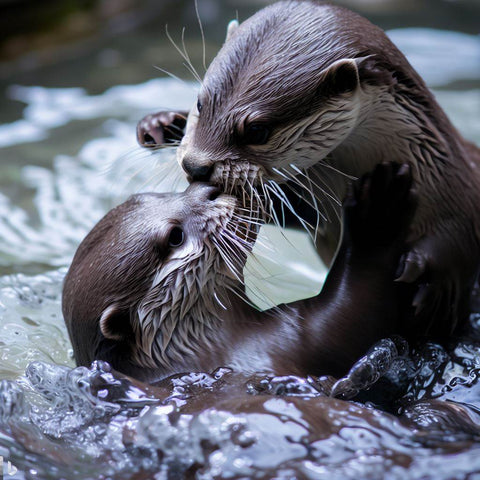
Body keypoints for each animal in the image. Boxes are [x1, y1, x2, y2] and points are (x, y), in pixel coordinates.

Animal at [62, 164, 416, 382]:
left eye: (154, 195)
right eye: (174, 237)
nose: (207, 189)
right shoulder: (288, 343)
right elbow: (351, 315)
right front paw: (378, 209)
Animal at [136, 0, 480, 338]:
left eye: (257, 131)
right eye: (200, 103)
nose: (195, 165)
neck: (427, 170)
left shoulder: (456, 197)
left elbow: (455, 243)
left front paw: (425, 275)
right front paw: (162, 123)